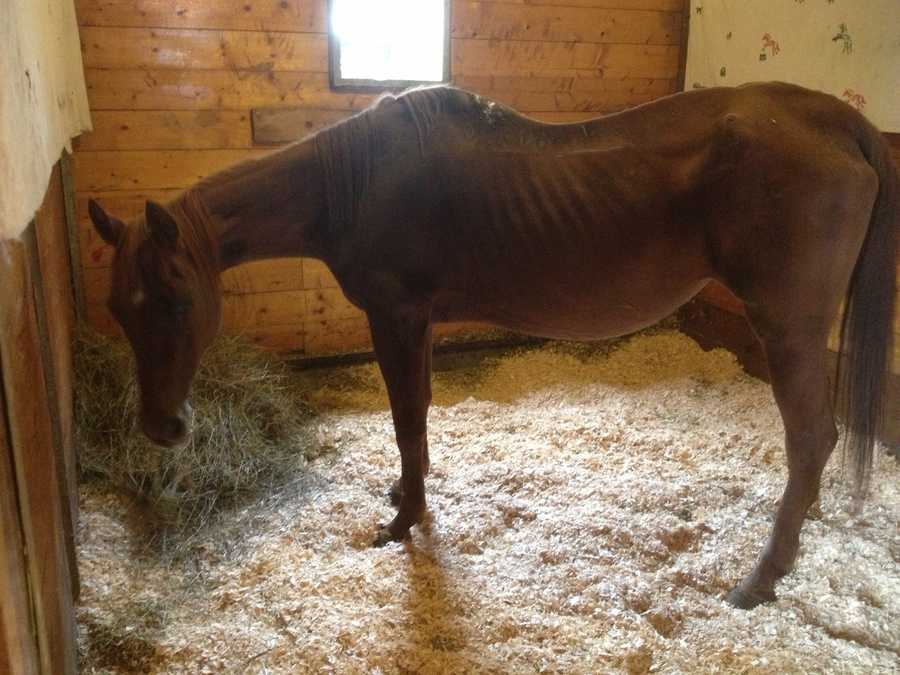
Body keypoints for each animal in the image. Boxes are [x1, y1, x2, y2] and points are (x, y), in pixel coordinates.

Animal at [88, 82, 896, 608]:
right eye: (118, 308)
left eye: (178, 301)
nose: (163, 427)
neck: (356, 183)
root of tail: (832, 118)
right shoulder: (413, 323)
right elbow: (415, 419)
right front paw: (407, 496)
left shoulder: (397, 316)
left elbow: (407, 419)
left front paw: (402, 522)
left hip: (787, 328)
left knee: (812, 439)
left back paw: (759, 579)